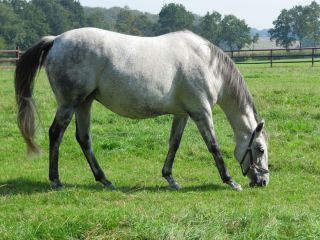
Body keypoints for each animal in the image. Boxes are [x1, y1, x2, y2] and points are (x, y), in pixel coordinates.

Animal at [15, 28, 270, 190]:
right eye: (260, 149)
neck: (208, 65)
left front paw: (170, 179)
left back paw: (104, 180)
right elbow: (214, 146)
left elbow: (174, 144)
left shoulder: (182, 114)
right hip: (69, 103)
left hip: (84, 103)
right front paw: (230, 181)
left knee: (84, 138)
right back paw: (56, 180)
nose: (263, 181)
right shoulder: (201, 112)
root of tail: (56, 39)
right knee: (56, 134)